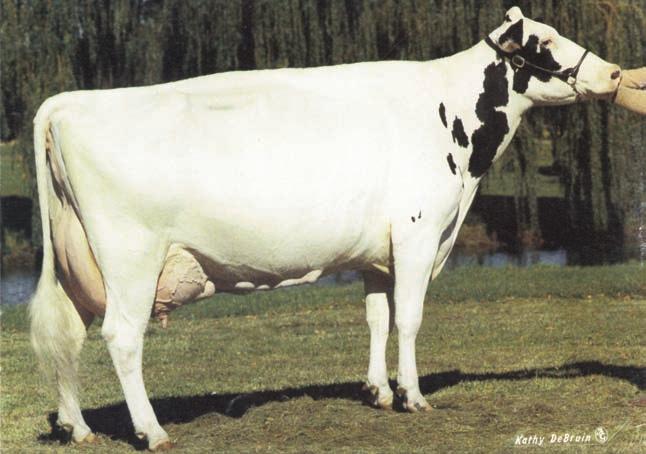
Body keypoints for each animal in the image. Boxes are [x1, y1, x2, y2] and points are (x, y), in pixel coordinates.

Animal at [30, 7, 620, 450]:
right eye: (546, 40)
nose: (615, 73)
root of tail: (70, 103)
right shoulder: (418, 234)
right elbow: (409, 320)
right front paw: (413, 396)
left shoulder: (379, 252)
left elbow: (378, 318)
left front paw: (378, 391)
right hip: (130, 259)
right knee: (121, 338)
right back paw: (152, 431)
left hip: (76, 262)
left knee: (68, 335)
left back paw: (77, 427)